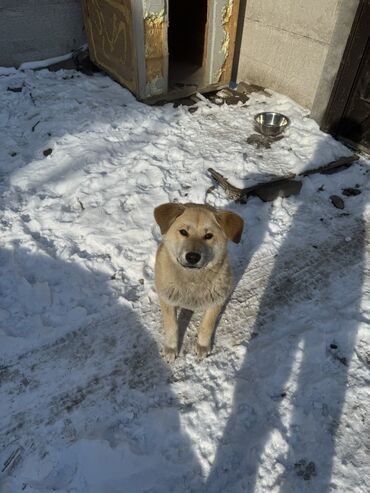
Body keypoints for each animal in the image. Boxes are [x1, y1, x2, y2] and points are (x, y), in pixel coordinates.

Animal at [154, 202, 244, 360]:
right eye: (183, 232)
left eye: (208, 236)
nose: (192, 257)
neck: (193, 280)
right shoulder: (167, 300)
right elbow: (172, 326)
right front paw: (171, 348)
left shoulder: (216, 302)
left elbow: (206, 326)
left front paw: (202, 345)